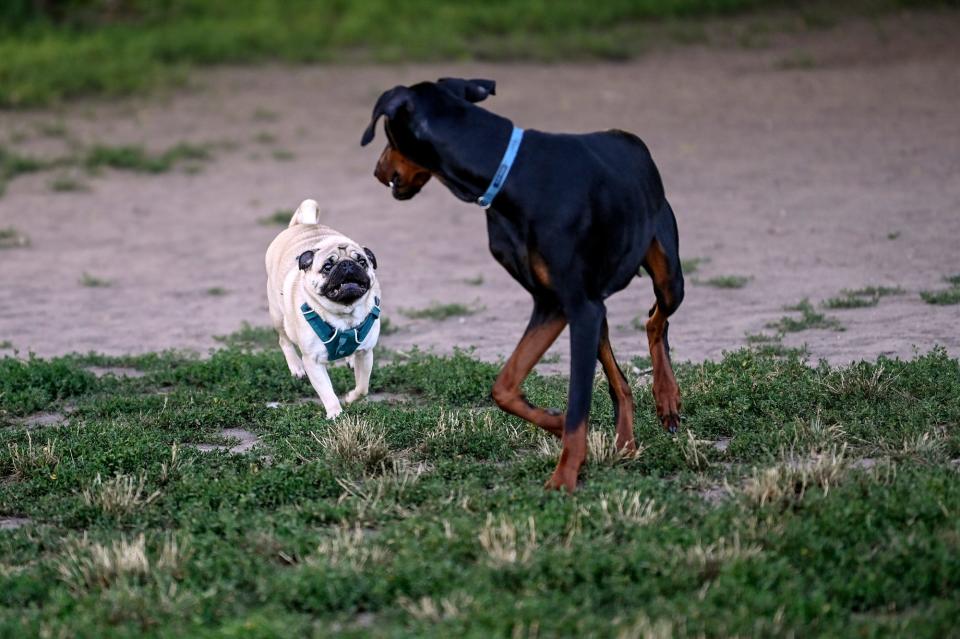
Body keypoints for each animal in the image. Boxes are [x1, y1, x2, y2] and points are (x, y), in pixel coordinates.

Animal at [266, 200, 382, 420]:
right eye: (328, 266)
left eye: (362, 261)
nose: (347, 264)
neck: (345, 314)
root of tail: (302, 225)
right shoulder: (313, 362)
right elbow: (327, 392)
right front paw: (335, 413)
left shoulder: (366, 353)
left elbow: (363, 387)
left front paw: (351, 397)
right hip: (278, 315)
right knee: (283, 340)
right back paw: (296, 368)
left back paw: (349, 359)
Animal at [360, 77, 684, 492]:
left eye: (387, 134)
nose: (376, 170)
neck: (510, 173)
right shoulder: (554, 303)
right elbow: (504, 387)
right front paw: (557, 424)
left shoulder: (577, 306)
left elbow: (578, 403)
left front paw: (564, 478)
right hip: (597, 308)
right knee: (622, 377)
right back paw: (626, 442)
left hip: (667, 274)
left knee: (656, 319)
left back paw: (667, 398)